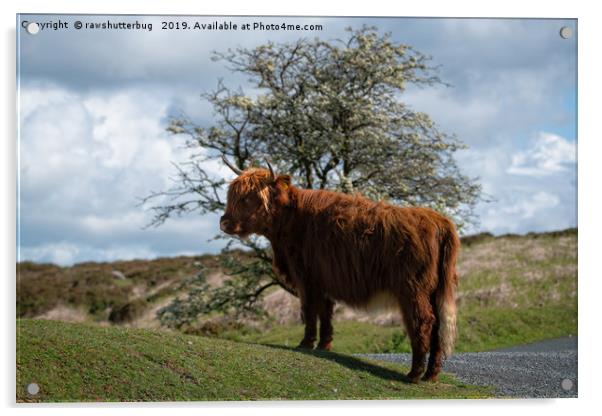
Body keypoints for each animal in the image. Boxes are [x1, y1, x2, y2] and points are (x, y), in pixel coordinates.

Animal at [218, 157, 458, 384]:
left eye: (249, 198)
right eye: (233, 196)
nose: (224, 222)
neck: (292, 220)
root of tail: (438, 220)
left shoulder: (306, 277)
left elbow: (309, 310)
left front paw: (305, 344)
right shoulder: (323, 279)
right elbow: (325, 313)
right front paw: (324, 345)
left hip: (412, 288)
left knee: (423, 322)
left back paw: (414, 374)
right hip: (435, 290)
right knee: (438, 326)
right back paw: (431, 374)